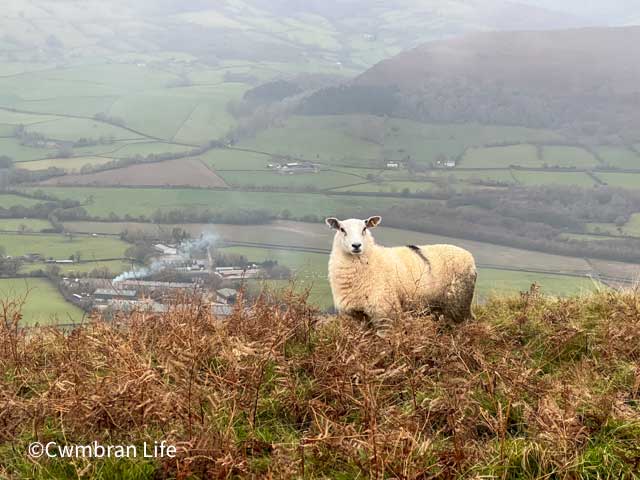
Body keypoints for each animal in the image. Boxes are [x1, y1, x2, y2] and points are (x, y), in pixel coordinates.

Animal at [324, 217, 476, 322]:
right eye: (342, 229)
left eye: (364, 229)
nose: (356, 245)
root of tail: (469, 256)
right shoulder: (353, 314)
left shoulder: (385, 312)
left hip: (459, 301)